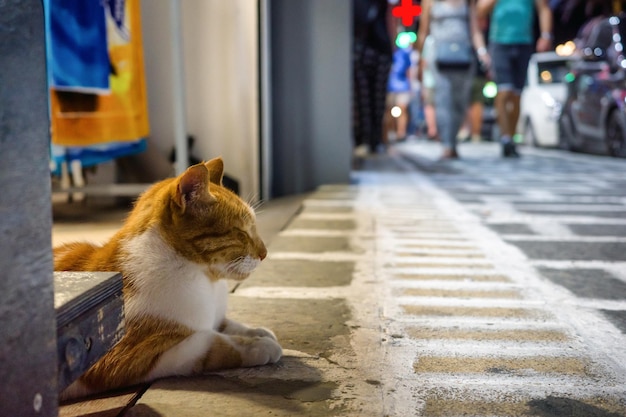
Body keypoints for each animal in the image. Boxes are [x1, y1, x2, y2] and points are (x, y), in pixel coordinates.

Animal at [56, 158, 280, 398]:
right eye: (241, 232)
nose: (265, 253)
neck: (206, 280)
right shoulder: (128, 357)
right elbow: (214, 341)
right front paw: (259, 345)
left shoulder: (215, 317)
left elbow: (227, 324)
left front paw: (258, 331)